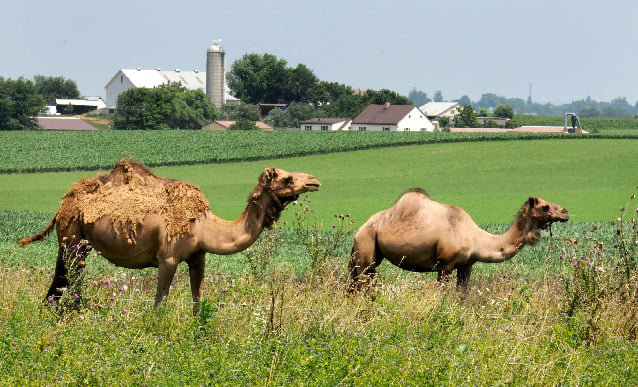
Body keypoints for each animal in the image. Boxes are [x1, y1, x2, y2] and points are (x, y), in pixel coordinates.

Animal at [19, 159, 320, 314]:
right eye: (286, 179)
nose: (314, 181)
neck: (205, 225)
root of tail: (64, 203)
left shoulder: (198, 257)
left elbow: (198, 301)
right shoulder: (168, 257)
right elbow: (159, 304)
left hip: (76, 242)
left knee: (64, 279)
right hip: (72, 237)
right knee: (69, 278)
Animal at [350, 189, 568, 292]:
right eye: (545, 207)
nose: (565, 212)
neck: (476, 238)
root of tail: (358, 230)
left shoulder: (467, 265)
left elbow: (462, 294)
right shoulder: (445, 265)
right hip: (366, 248)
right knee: (363, 286)